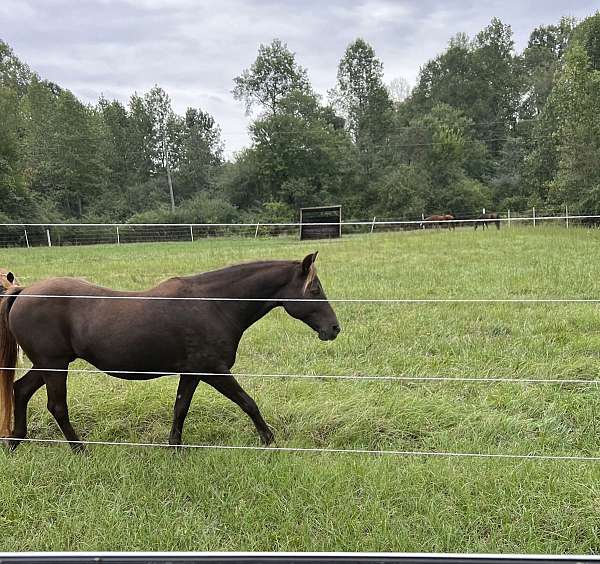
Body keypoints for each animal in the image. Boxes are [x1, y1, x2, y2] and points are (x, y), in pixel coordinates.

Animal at [0, 253, 340, 452]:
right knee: (56, 406)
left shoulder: (192, 372)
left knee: (20, 390)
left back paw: (16, 441)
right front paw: (269, 440)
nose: (334, 328)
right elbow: (248, 403)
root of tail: (23, 292)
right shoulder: (215, 371)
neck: (215, 304)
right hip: (54, 365)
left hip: (47, 365)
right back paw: (79, 448)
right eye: (314, 290)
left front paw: (175, 447)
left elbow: (180, 408)